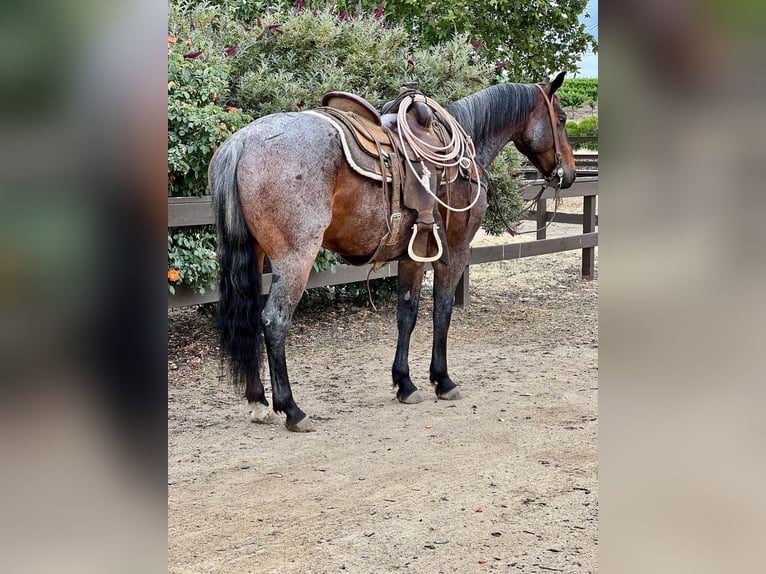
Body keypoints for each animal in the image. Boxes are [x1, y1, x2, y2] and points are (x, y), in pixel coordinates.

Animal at [210, 71, 576, 432]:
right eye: (561, 118)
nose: (569, 174)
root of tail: (243, 141)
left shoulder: (414, 254)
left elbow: (406, 315)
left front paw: (405, 383)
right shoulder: (455, 252)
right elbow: (441, 312)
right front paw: (443, 380)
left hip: (255, 256)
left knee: (249, 319)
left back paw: (258, 402)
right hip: (296, 258)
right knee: (274, 321)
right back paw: (291, 409)